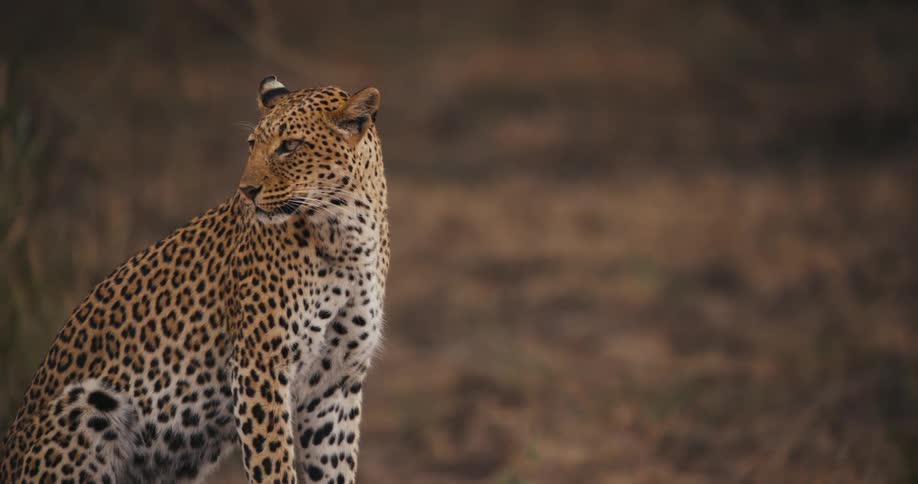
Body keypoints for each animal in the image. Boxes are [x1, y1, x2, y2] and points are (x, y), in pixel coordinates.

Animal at [0, 76, 389, 484]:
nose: (247, 191)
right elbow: (273, 463)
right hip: (89, 404)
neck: (347, 237)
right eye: (252, 144)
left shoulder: (336, 382)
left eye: (290, 146)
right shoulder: (260, 365)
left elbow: (333, 464)